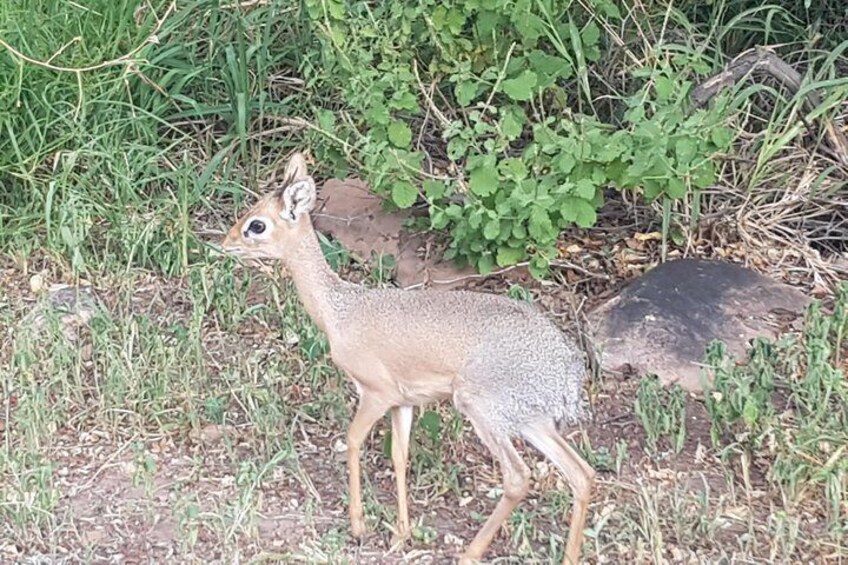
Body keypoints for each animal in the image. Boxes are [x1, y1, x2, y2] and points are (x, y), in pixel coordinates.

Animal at [224, 152, 596, 560]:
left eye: (256, 224)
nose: (225, 243)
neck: (340, 311)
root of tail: (568, 368)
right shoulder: (404, 402)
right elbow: (399, 456)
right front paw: (401, 534)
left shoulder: (376, 392)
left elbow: (352, 440)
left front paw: (358, 526)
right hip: (530, 419)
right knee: (582, 473)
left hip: (482, 408)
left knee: (518, 478)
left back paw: (469, 553)